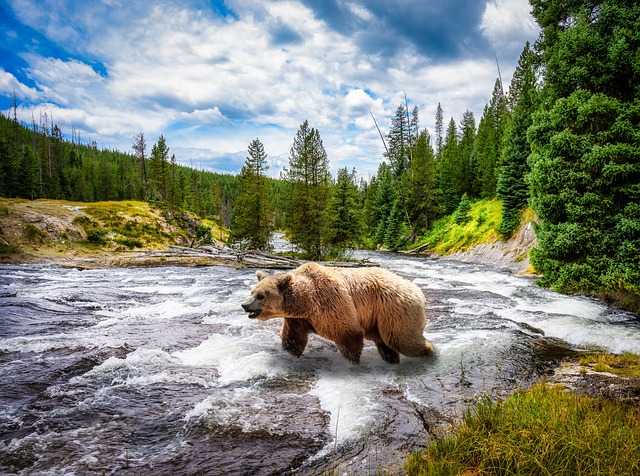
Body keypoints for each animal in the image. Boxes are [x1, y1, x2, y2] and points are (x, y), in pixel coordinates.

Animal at [241, 262, 436, 362]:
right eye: (252, 292)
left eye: (261, 296)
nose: (244, 305)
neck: (304, 302)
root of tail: (416, 289)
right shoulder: (297, 319)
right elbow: (293, 339)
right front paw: (290, 353)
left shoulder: (329, 301)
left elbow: (347, 332)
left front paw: (353, 361)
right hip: (377, 319)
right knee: (385, 341)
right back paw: (391, 359)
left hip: (394, 309)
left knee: (400, 338)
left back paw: (430, 353)